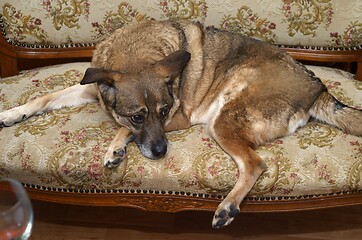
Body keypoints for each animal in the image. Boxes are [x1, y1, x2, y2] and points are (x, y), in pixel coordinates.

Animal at [0, 20, 362, 227]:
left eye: (163, 111)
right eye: (139, 115)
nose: (161, 152)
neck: (137, 53)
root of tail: (317, 88)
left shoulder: (180, 117)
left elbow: (122, 130)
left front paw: (116, 147)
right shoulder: (92, 87)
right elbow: (45, 97)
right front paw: (12, 113)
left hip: (221, 121)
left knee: (256, 164)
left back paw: (227, 207)